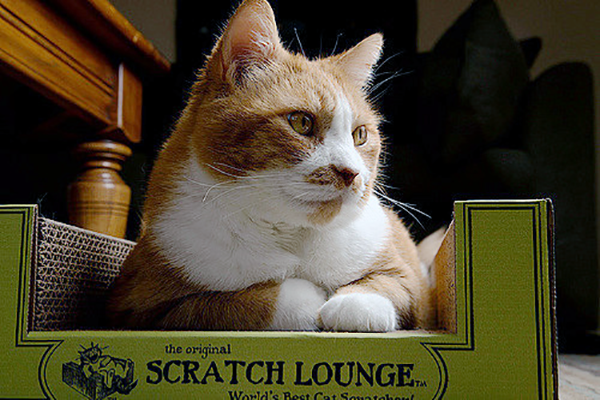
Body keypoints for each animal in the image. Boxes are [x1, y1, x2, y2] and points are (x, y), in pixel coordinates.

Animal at [108, 0, 434, 332]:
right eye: (301, 122)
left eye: (360, 135)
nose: (351, 173)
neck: (291, 233)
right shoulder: (144, 306)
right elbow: (231, 304)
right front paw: (308, 297)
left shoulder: (411, 285)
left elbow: (387, 286)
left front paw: (354, 304)